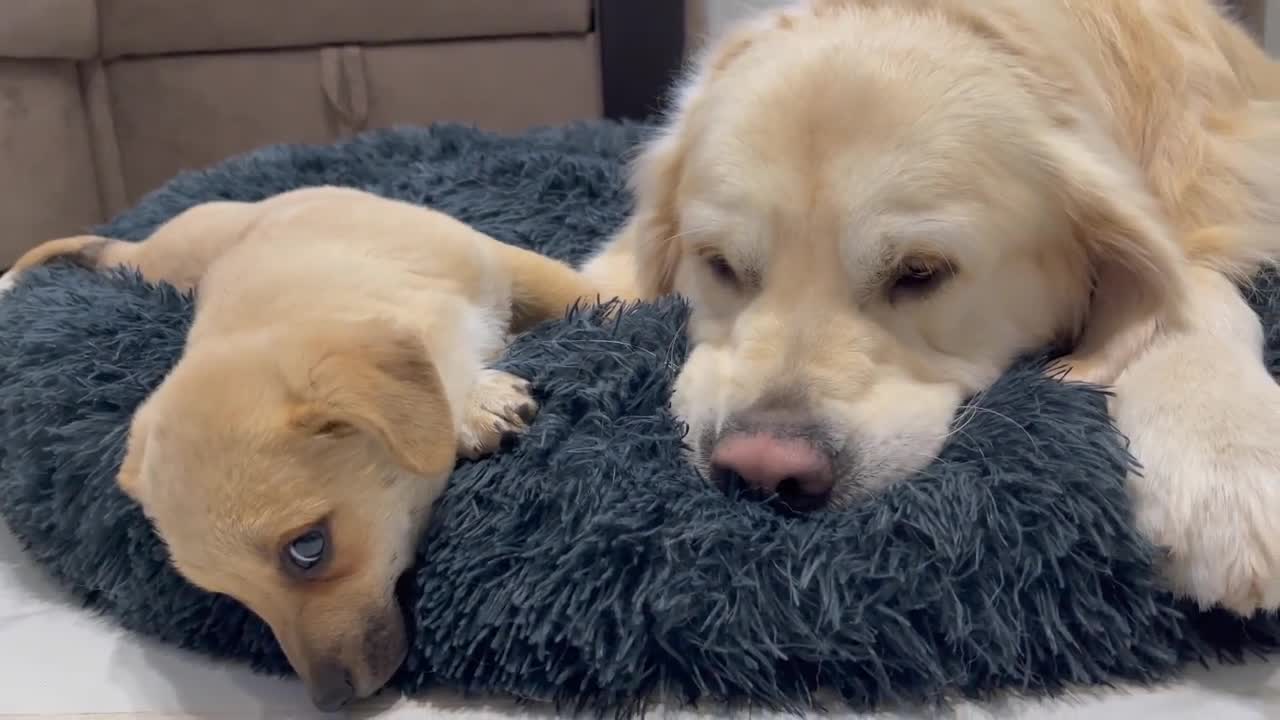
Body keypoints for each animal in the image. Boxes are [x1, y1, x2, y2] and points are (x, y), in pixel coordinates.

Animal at [0, 184, 596, 707]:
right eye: (229, 594)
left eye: (308, 549)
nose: (329, 701)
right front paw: (475, 402)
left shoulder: (503, 264)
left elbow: (586, 296)